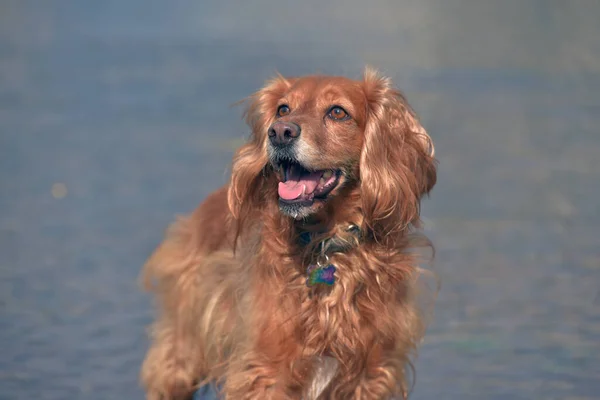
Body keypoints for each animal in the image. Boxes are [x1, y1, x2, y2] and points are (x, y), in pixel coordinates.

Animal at [143, 69, 438, 400]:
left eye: (338, 112)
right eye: (283, 109)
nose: (280, 132)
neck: (326, 246)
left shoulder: (372, 374)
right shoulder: (264, 373)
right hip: (182, 355)